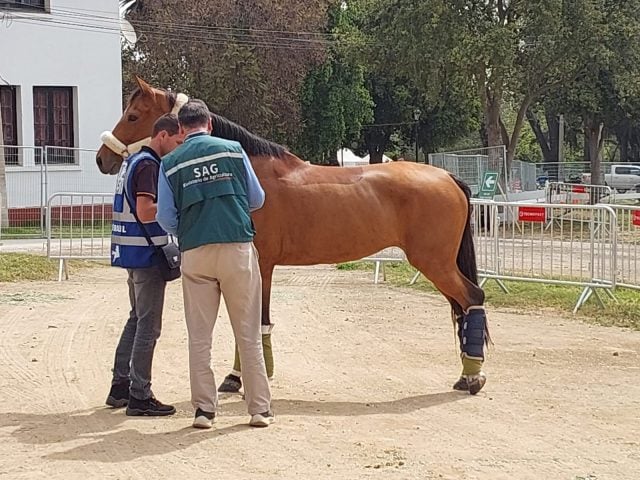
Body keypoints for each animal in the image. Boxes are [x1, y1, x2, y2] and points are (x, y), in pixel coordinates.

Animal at [95, 78, 488, 394]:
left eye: (133, 116)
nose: (102, 159)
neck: (249, 170)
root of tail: (447, 177)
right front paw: (239, 377)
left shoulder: (259, 264)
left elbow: (255, 321)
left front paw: (243, 377)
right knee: (463, 306)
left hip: (435, 263)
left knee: (473, 298)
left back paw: (472, 376)